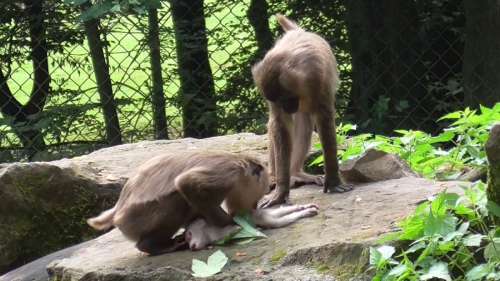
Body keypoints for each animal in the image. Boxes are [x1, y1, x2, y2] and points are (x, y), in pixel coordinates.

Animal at [87, 151, 316, 254]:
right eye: (257, 194)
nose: (253, 206)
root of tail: (117, 212)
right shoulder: (228, 173)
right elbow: (187, 183)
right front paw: (230, 223)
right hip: (137, 220)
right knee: (179, 199)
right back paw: (152, 246)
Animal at [252, 14, 354, 208]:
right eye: (279, 102)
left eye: (286, 99)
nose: (287, 107)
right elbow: (280, 125)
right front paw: (281, 191)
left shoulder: (317, 79)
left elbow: (324, 119)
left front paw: (333, 181)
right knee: (277, 128)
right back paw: (279, 177)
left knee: (305, 124)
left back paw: (296, 173)